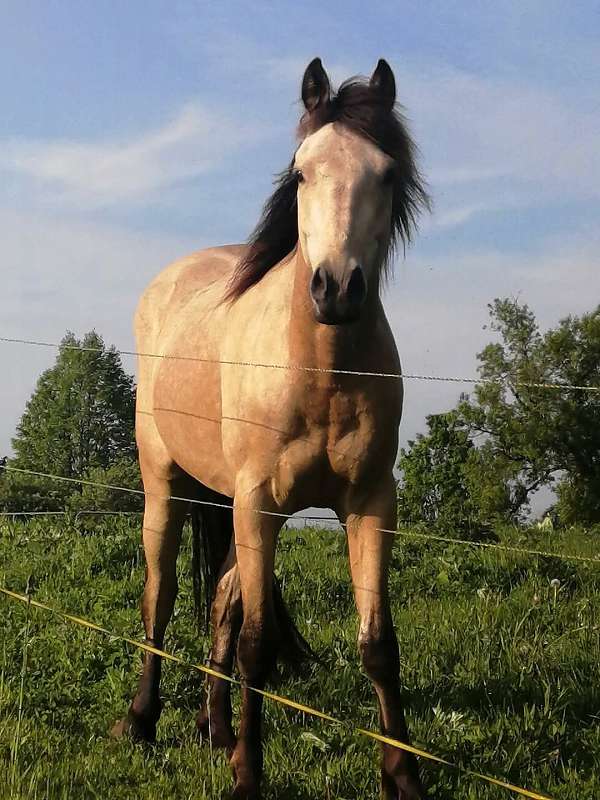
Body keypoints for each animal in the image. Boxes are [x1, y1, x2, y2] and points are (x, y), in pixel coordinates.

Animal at [111, 57, 429, 800]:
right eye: (304, 172)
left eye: (386, 174)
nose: (336, 289)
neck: (323, 373)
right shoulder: (262, 506)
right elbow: (257, 646)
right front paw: (249, 779)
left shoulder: (371, 504)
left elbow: (379, 645)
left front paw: (402, 776)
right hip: (166, 485)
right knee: (160, 598)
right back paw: (142, 720)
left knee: (222, 601)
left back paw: (217, 729)